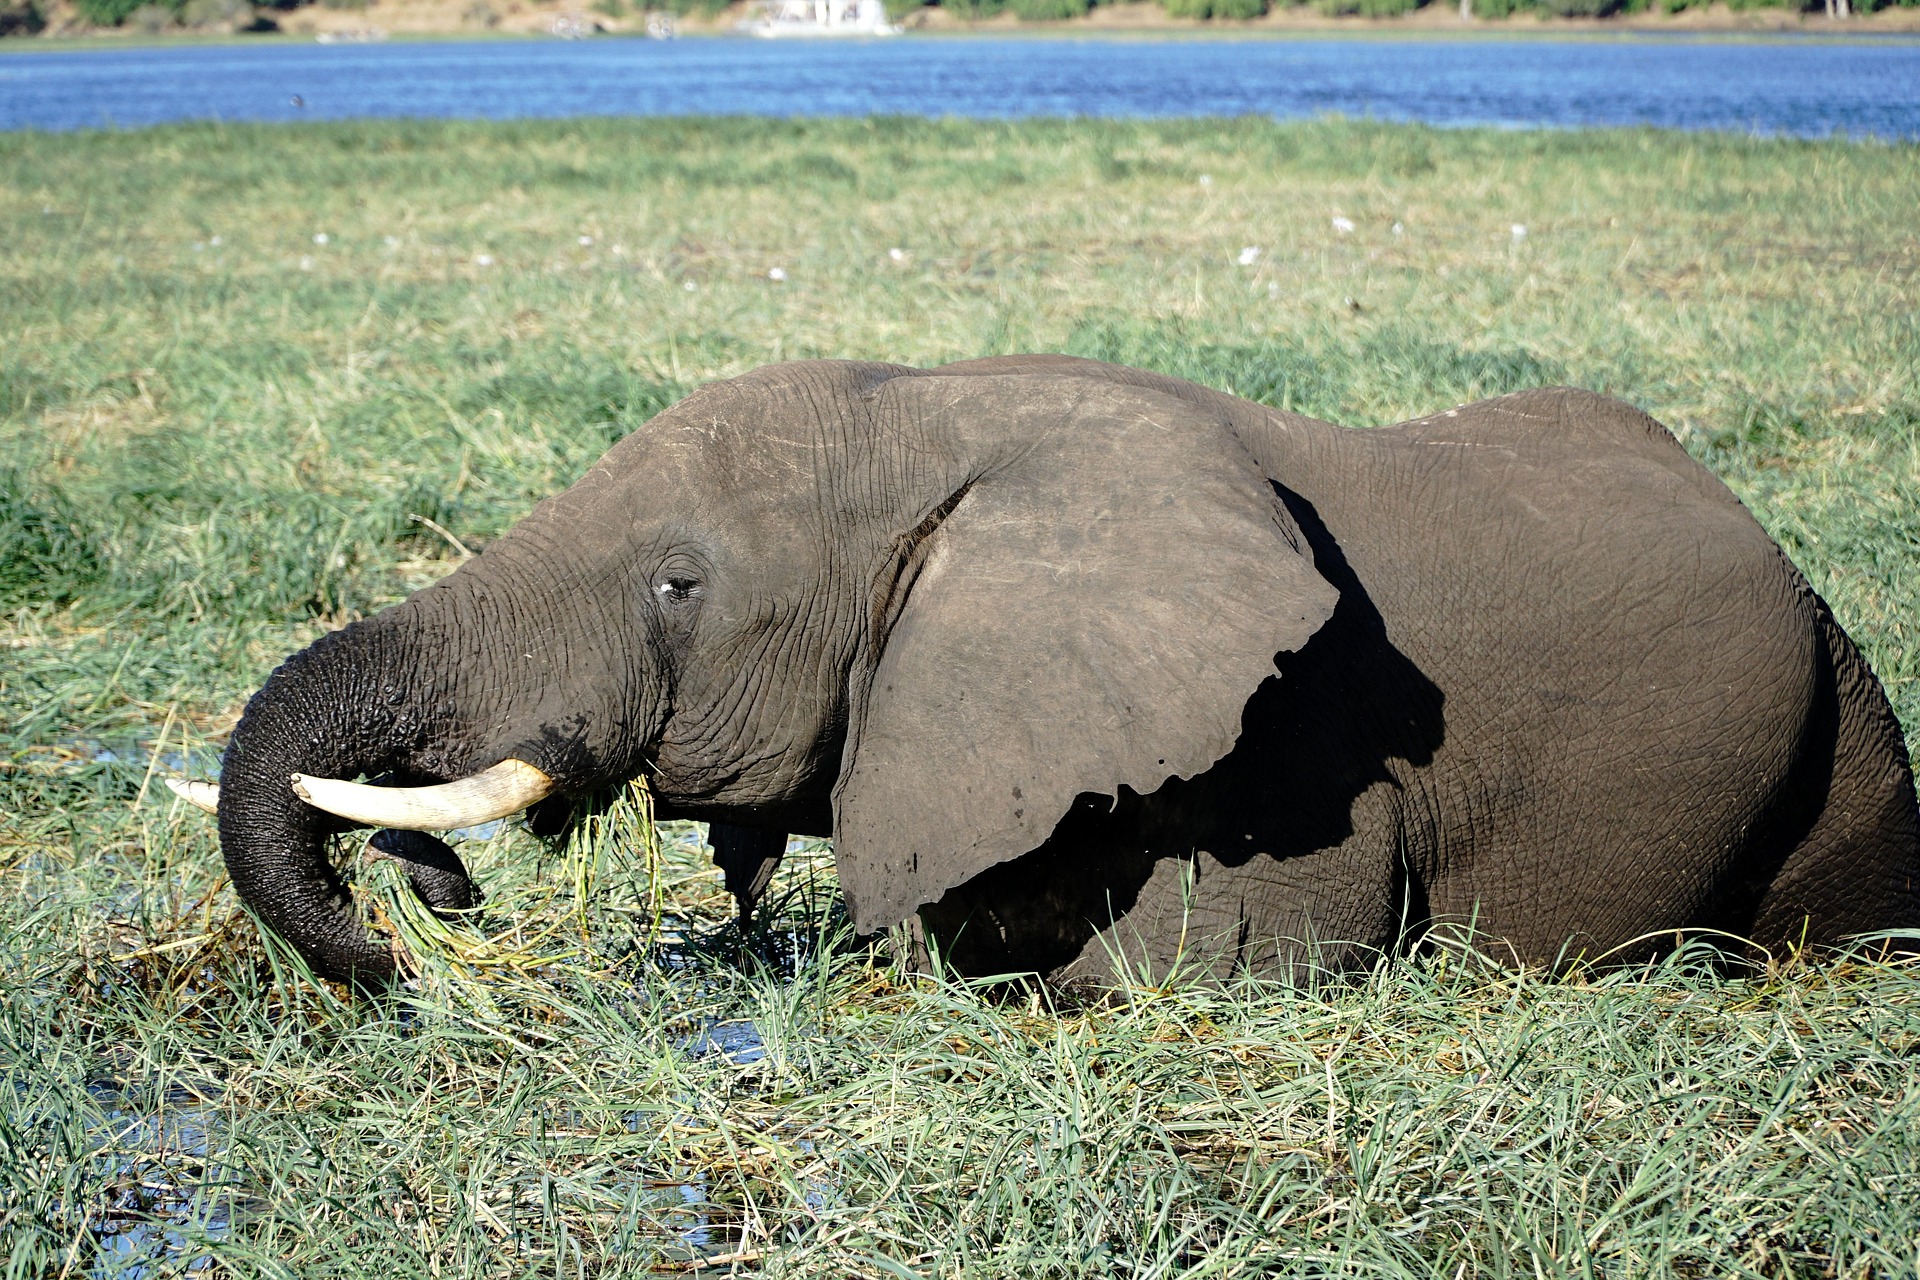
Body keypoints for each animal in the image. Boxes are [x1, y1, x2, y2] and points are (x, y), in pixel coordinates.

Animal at [174, 355, 1920, 988]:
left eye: (678, 583)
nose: (420, 923)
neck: (939, 415)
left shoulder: (1286, 747)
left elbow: (1193, 981)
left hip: (1840, 713)